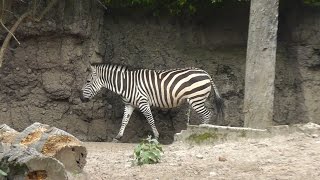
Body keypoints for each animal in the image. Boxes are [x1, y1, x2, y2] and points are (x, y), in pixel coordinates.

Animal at [80, 64, 225, 141]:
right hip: (198, 99)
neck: (126, 85)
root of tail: (205, 73)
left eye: (87, 81)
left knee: (208, 114)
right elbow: (124, 121)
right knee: (208, 113)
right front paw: (118, 136)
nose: (81, 99)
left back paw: (201, 131)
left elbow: (150, 120)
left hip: (196, 99)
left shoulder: (143, 102)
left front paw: (156, 137)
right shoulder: (129, 104)